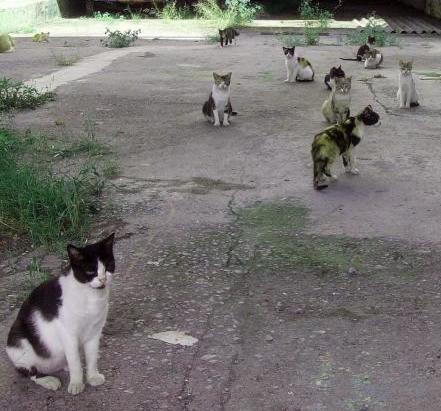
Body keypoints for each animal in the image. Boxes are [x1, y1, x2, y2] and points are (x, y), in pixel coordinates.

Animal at [5, 233, 115, 394]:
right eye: (91, 271)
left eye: (108, 267)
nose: (103, 279)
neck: (90, 296)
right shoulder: (68, 333)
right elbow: (75, 361)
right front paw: (76, 383)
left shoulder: (94, 332)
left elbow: (92, 357)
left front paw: (92, 377)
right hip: (19, 343)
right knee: (30, 372)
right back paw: (48, 380)